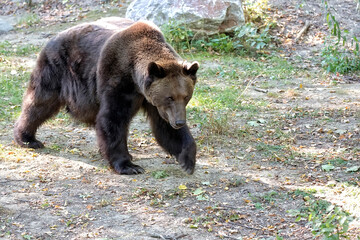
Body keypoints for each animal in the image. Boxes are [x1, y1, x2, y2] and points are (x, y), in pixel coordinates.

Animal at [13, 16, 200, 174]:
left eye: (186, 97)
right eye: (169, 97)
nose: (179, 121)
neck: (134, 76)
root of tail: (53, 37)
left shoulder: (151, 99)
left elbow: (164, 126)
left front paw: (187, 159)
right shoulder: (117, 80)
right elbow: (112, 119)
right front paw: (128, 165)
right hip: (56, 69)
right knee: (40, 103)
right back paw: (27, 138)